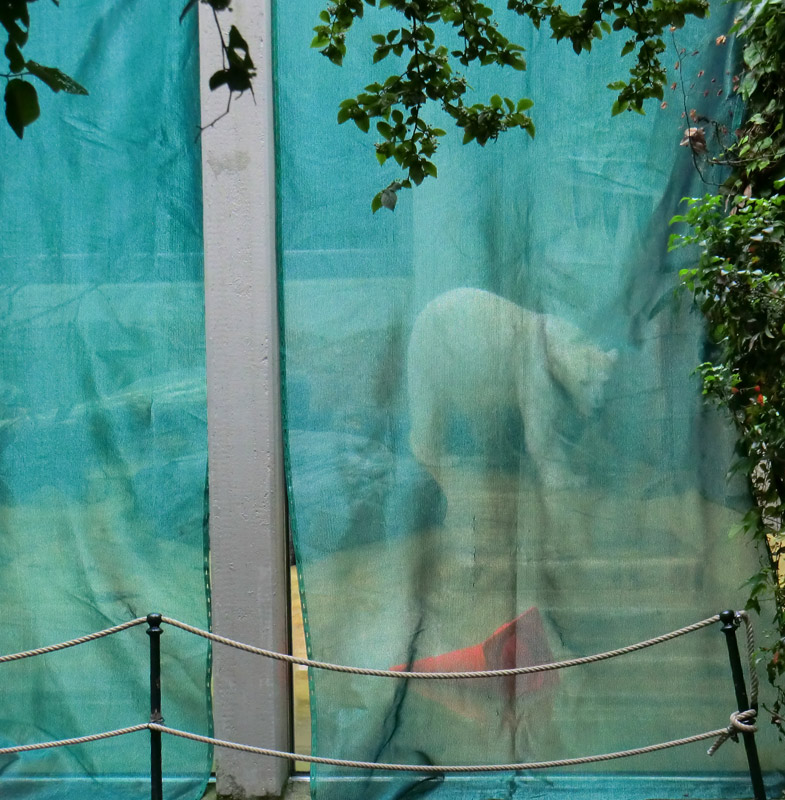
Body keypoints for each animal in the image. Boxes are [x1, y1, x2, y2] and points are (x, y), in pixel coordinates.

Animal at [408, 290, 616, 484]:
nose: (598, 407)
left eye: (605, 381)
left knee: (486, 413)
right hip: (435, 356)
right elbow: (542, 429)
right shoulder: (534, 367)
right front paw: (570, 478)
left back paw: (505, 455)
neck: (549, 337)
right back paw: (439, 457)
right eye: (583, 381)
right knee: (431, 410)